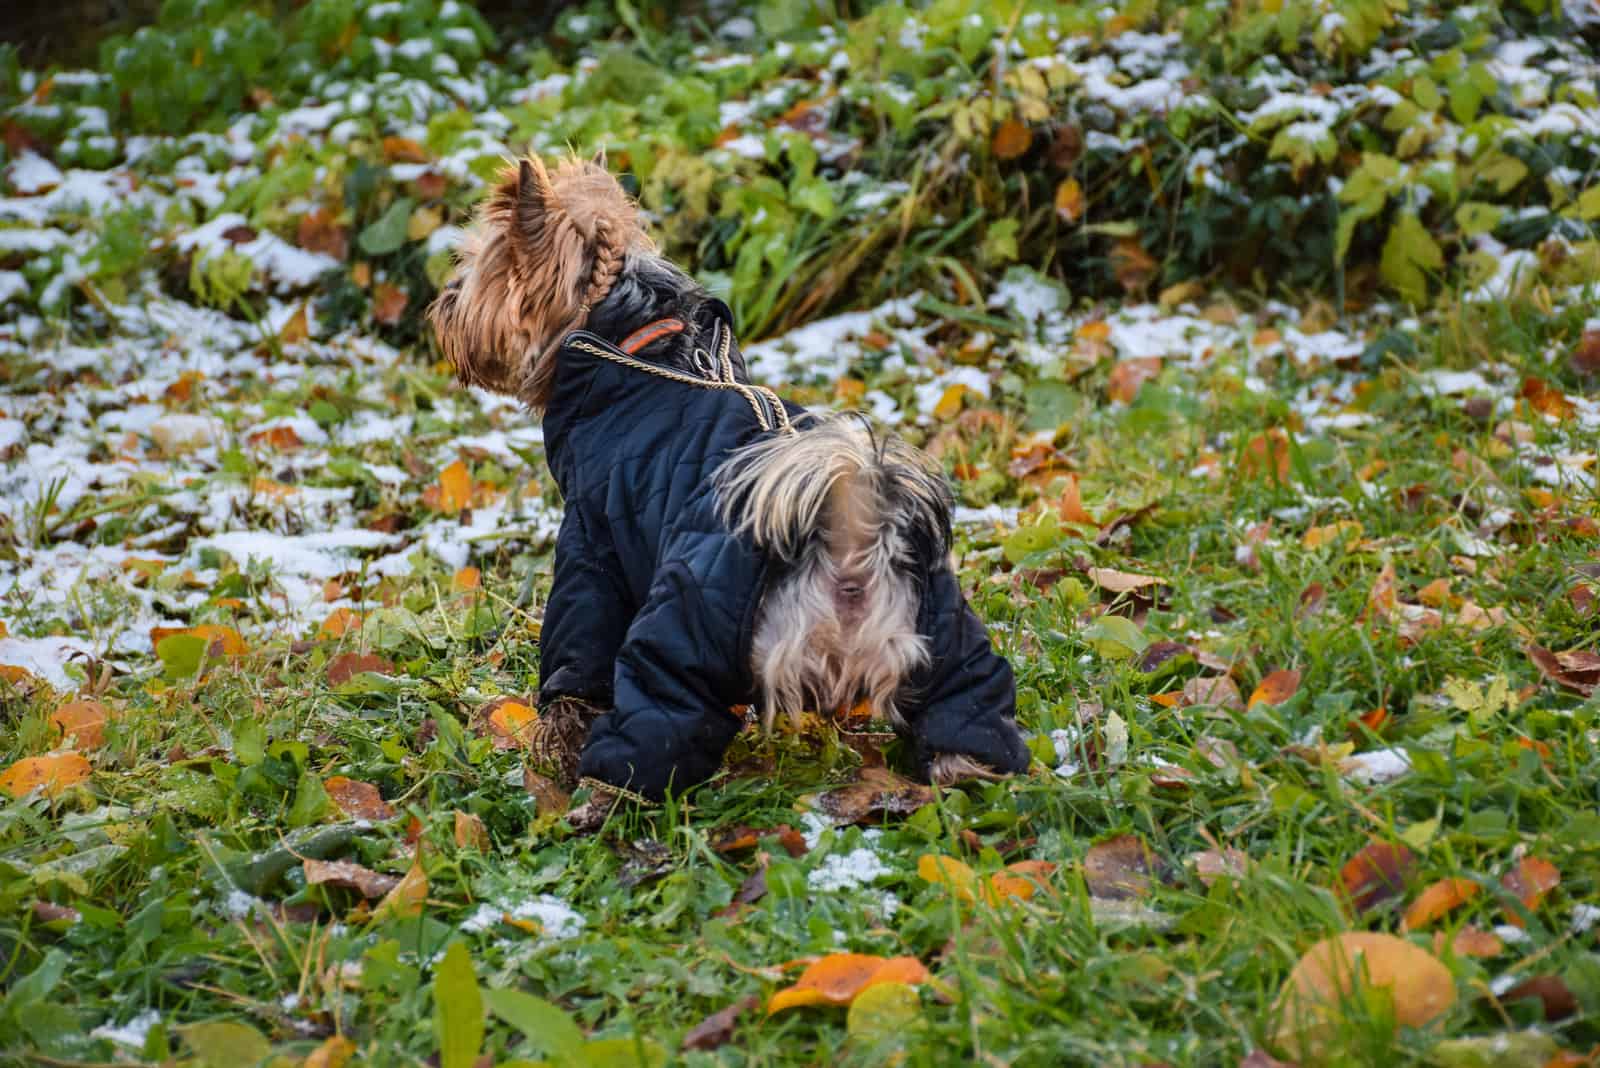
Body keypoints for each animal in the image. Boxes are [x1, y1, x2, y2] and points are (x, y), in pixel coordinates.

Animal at [425, 154, 1024, 805]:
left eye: (475, 266)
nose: (443, 304)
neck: (645, 344)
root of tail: (848, 541)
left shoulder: (589, 544)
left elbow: (576, 656)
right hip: (944, 634)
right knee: (970, 711)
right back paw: (971, 773)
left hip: (680, 636)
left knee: (657, 724)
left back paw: (607, 797)